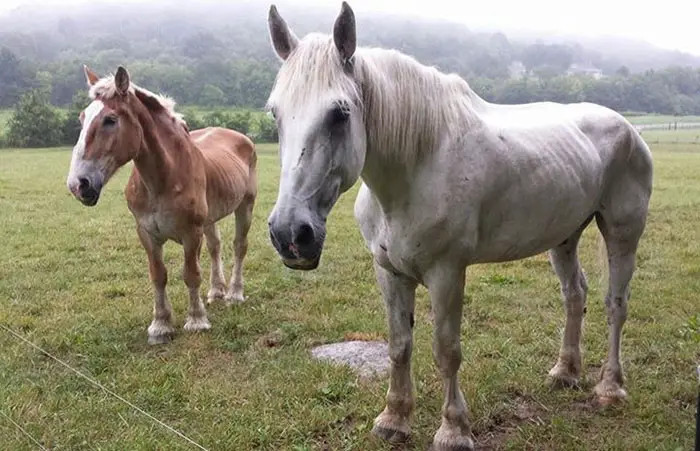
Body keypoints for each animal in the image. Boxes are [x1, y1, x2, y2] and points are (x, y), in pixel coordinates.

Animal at [66, 65, 257, 345]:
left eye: (110, 120)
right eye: (82, 118)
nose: (78, 184)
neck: (164, 177)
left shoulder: (191, 233)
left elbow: (191, 274)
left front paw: (196, 320)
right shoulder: (146, 233)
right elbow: (158, 275)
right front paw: (160, 325)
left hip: (245, 205)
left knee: (239, 246)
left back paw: (234, 294)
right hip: (210, 219)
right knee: (215, 247)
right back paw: (216, 292)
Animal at [265, 3, 653, 449]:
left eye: (339, 113)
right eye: (275, 113)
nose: (290, 235)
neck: (419, 164)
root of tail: (628, 128)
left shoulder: (447, 273)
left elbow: (446, 350)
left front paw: (453, 430)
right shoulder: (389, 272)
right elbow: (399, 345)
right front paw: (393, 419)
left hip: (623, 233)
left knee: (615, 305)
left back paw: (610, 388)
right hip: (564, 237)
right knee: (576, 295)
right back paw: (565, 372)